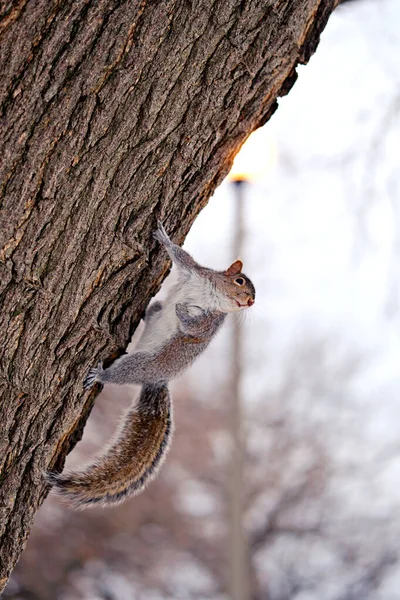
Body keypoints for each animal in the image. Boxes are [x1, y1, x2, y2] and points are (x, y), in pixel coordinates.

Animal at [46, 223, 253, 508]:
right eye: (240, 281)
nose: (251, 302)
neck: (213, 296)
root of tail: (157, 380)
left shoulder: (209, 322)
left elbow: (193, 329)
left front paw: (182, 311)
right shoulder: (196, 273)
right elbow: (179, 256)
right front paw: (164, 239)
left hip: (139, 364)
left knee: (119, 373)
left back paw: (100, 374)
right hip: (153, 318)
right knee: (154, 310)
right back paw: (148, 311)